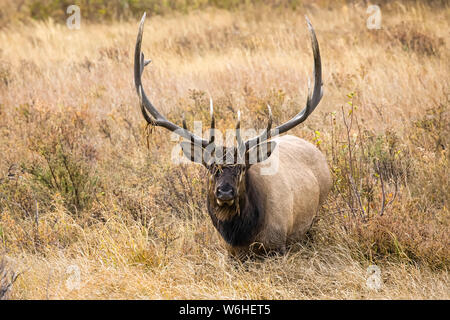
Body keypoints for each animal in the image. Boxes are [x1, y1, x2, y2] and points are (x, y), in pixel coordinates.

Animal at [133, 12, 330, 258]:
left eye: (242, 167)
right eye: (211, 167)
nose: (225, 191)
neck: (242, 236)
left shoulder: (278, 245)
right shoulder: (231, 253)